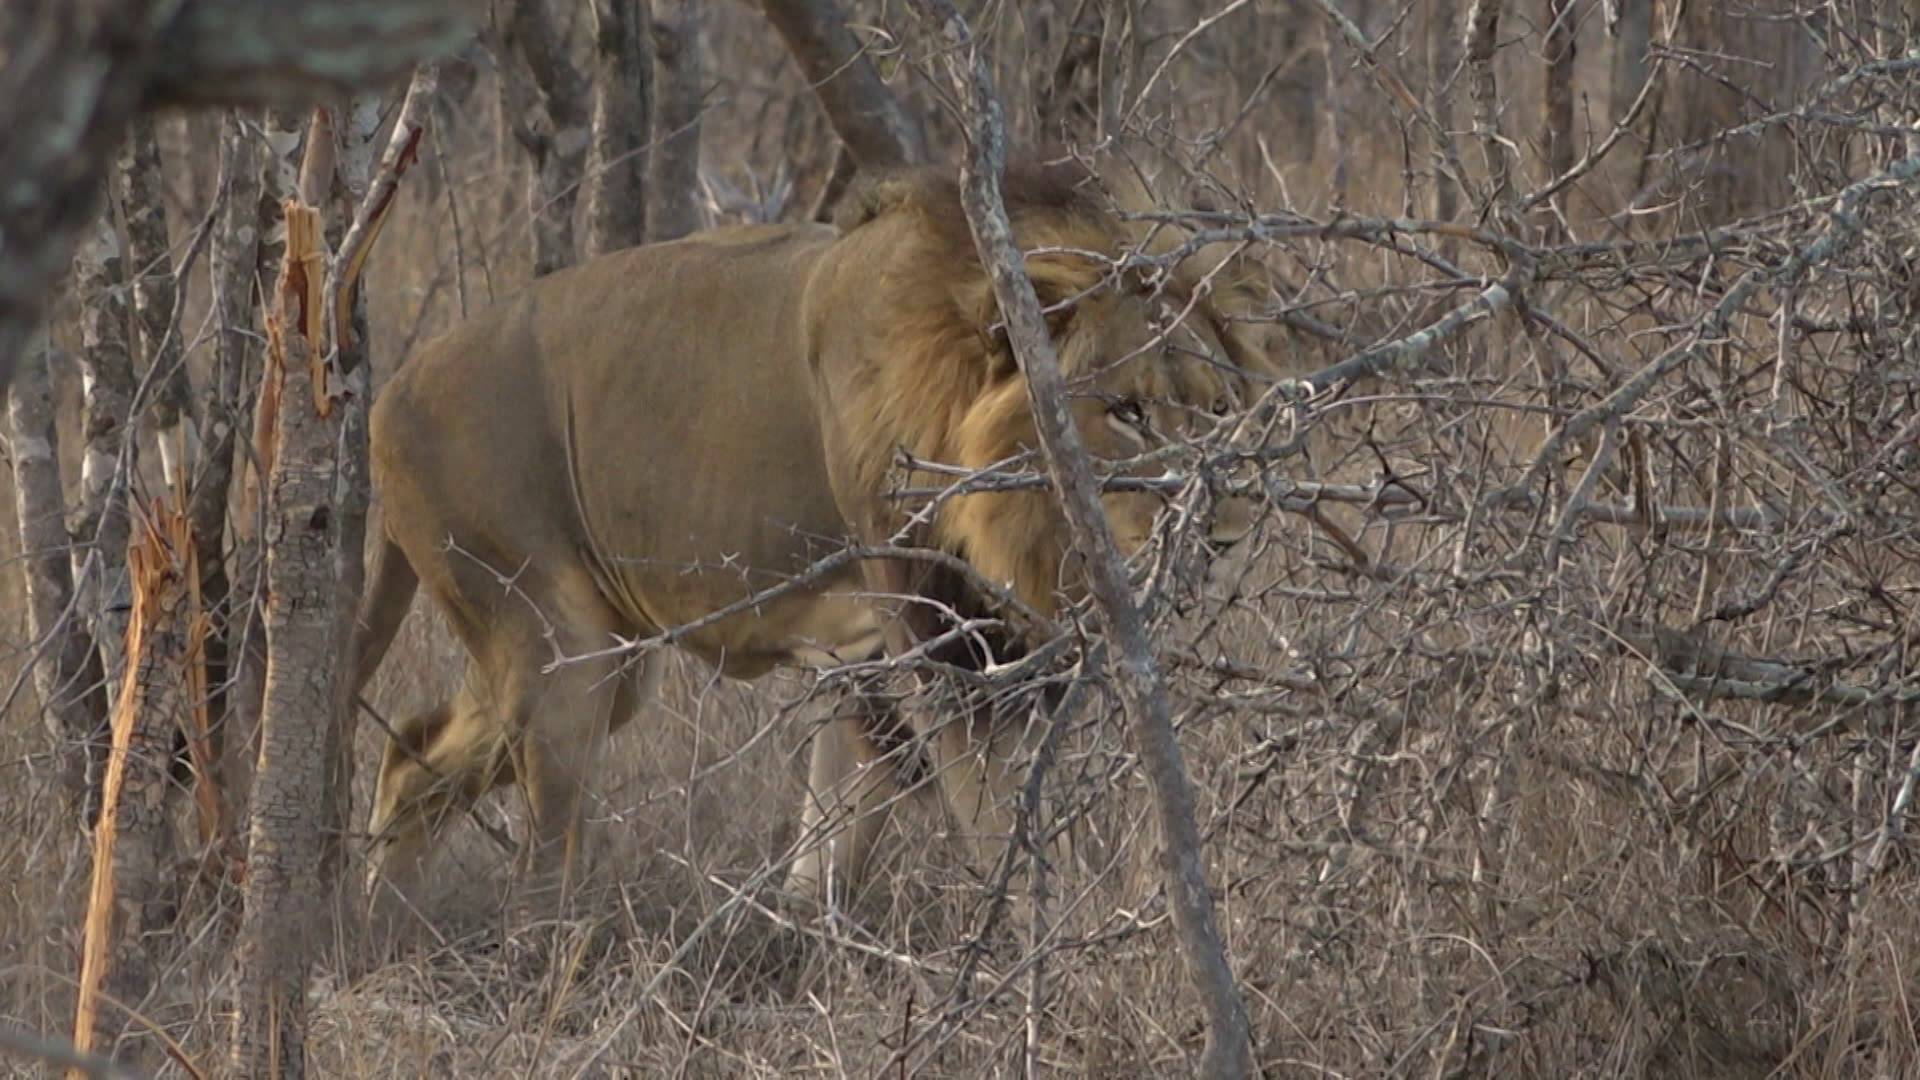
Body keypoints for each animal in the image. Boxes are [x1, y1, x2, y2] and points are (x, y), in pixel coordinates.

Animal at [353, 161, 1282, 907]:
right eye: (1126, 412)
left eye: (1217, 408)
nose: (1227, 534)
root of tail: (386, 394)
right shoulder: (941, 644)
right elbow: (992, 815)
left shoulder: (911, 652)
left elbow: (837, 824)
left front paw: (807, 934)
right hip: (559, 648)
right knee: (539, 852)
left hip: (603, 660)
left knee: (411, 760)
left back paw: (379, 925)